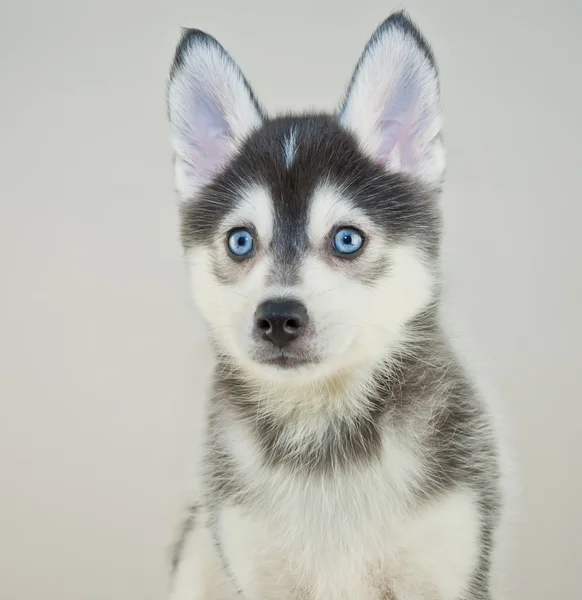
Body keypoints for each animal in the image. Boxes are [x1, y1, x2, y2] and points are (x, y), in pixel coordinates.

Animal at [167, 10, 504, 600]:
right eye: (240, 241)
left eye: (347, 239)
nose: (279, 318)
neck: (322, 430)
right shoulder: (255, 564)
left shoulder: (446, 560)